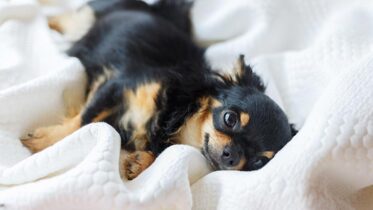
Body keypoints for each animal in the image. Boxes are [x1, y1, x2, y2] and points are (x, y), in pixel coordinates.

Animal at [21, 0, 294, 180]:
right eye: (230, 119)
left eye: (258, 162)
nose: (232, 156)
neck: (177, 113)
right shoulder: (115, 86)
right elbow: (83, 122)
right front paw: (46, 141)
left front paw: (141, 161)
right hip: (83, 20)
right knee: (64, 17)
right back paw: (43, 19)